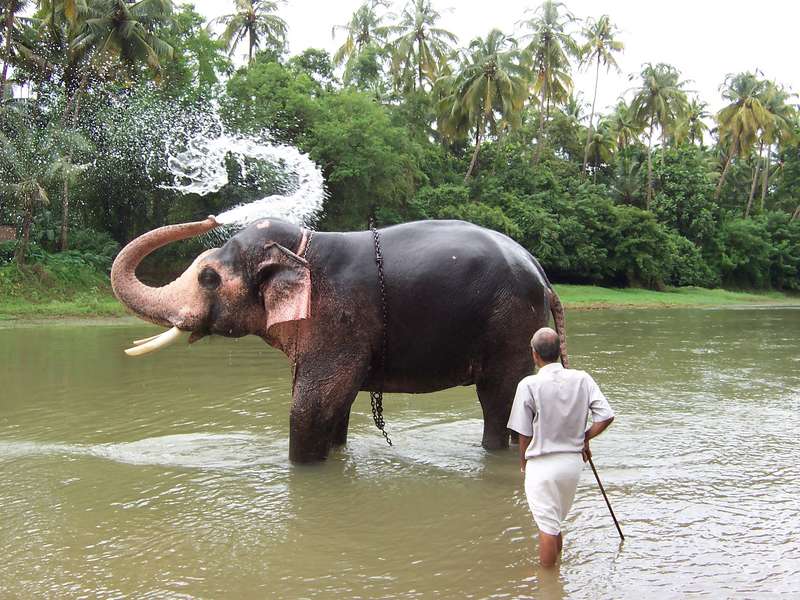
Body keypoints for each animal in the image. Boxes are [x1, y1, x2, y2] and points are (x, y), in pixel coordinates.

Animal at [111, 217, 568, 464]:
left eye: (208, 277)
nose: (211, 218)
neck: (301, 248)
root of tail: (543, 275)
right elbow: (336, 407)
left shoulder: (336, 322)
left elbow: (310, 408)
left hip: (509, 326)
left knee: (497, 401)